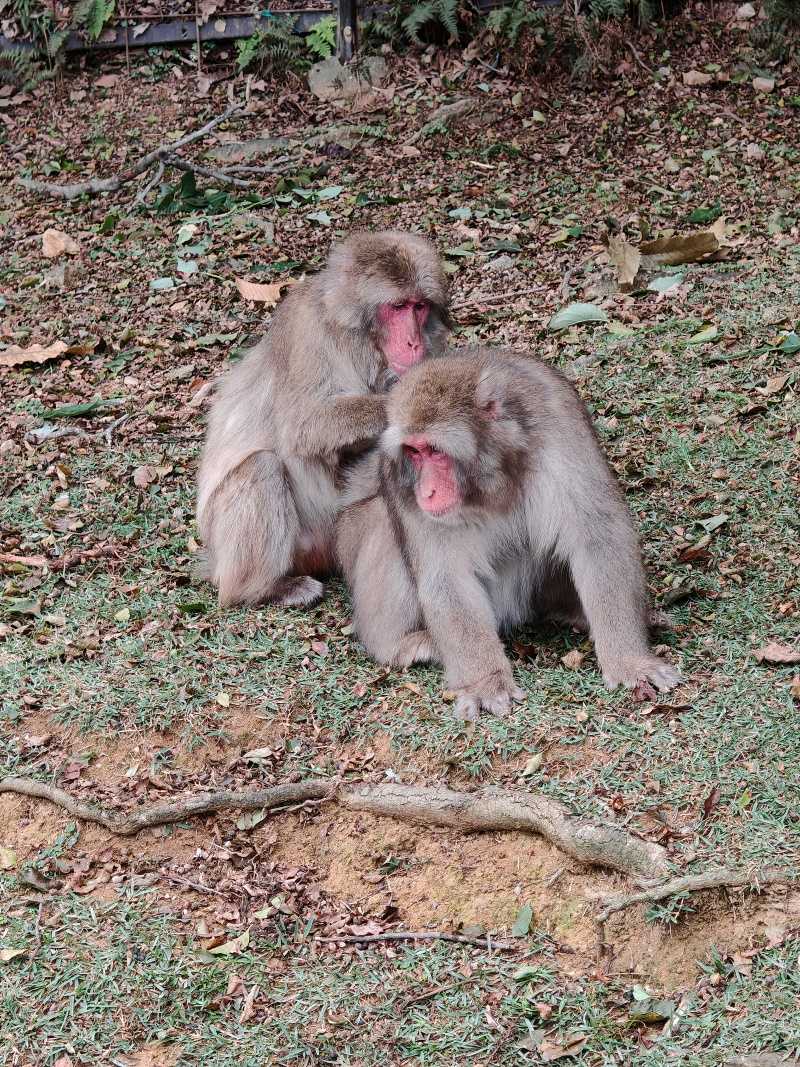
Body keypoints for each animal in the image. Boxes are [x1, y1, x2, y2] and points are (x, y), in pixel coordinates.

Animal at [196, 230, 450, 608]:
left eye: (419, 306)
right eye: (398, 307)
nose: (413, 342)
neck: (358, 338)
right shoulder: (307, 330)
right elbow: (305, 423)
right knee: (262, 466)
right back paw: (263, 588)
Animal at [336, 347, 681, 719]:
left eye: (434, 451)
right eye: (413, 452)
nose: (425, 492)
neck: (493, 478)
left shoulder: (559, 425)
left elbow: (598, 537)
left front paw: (629, 660)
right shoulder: (401, 480)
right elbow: (447, 578)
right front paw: (484, 682)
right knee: (380, 519)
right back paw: (397, 643)